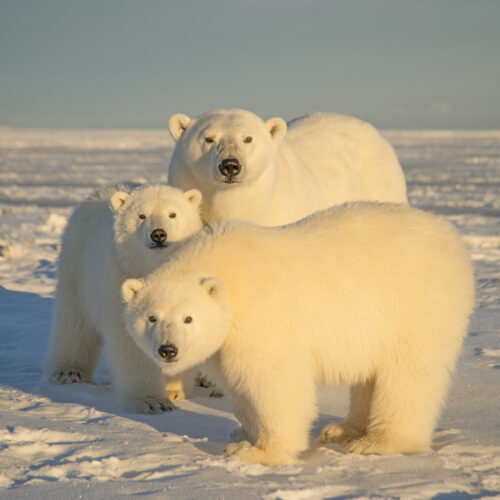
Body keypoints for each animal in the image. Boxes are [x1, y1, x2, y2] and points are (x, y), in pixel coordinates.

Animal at [44, 184, 203, 414]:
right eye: (141, 215)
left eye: (173, 214)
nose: (158, 234)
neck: (152, 267)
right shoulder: (122, 277)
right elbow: (131, 340)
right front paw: (152, 401)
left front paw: (173, 389)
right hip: (78, 265)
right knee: (74, 321)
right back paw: (69, 372)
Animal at [120, 202, 472, 464]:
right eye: (152, 317)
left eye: (189, 318)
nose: (168, 350)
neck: (227, 273)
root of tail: (452, 238)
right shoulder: (226, 340)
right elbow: (239, 385)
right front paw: (242, 433)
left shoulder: (260, 317)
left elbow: (275, 383)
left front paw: (258, 451)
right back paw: (344, 430)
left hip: (415, 305)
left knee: (407, 374)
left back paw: (379, 441)